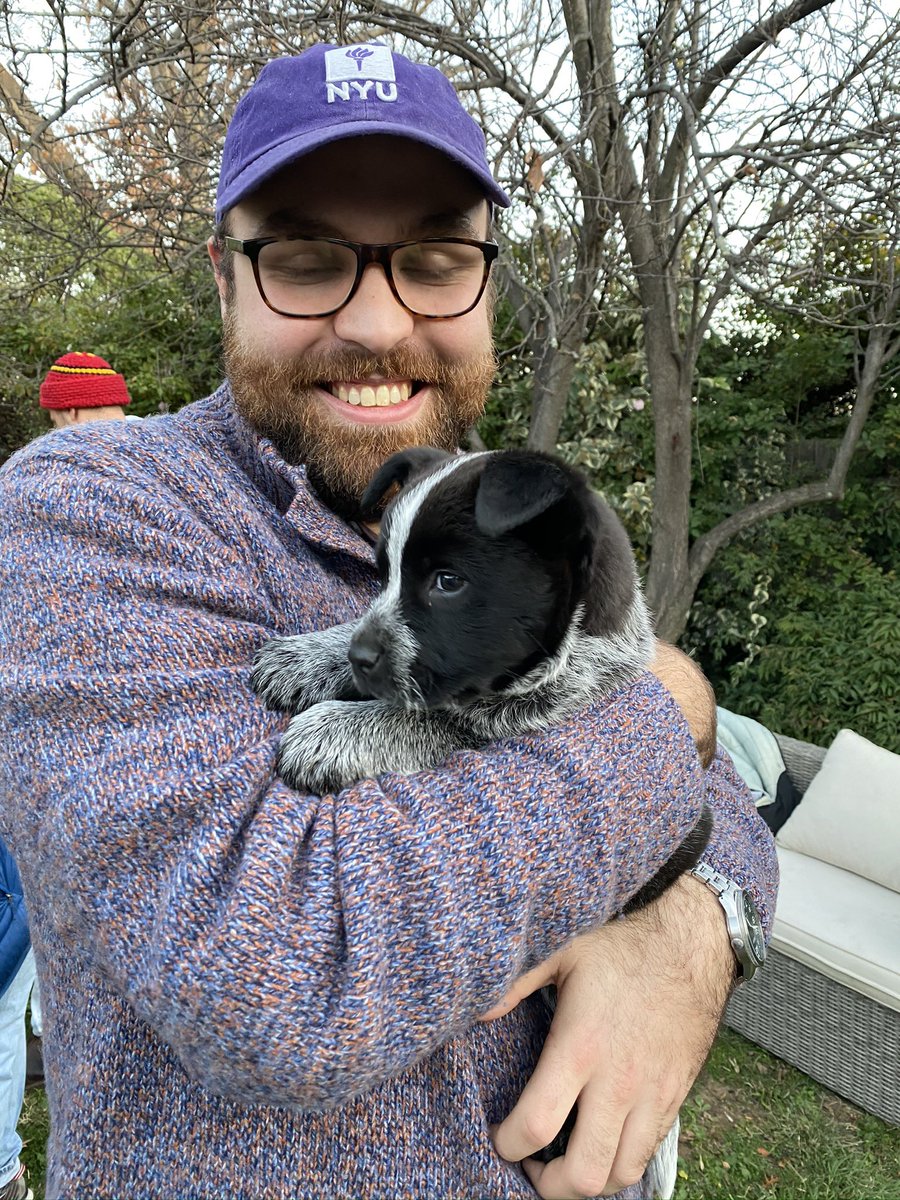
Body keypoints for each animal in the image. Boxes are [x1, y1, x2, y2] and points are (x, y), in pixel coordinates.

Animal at [252, 446, 710, 912]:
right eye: (384, 575)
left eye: (448, 582)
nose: (358, 658)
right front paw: (310, 656)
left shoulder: (527, 708)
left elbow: (434, 717)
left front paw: (333, 731)